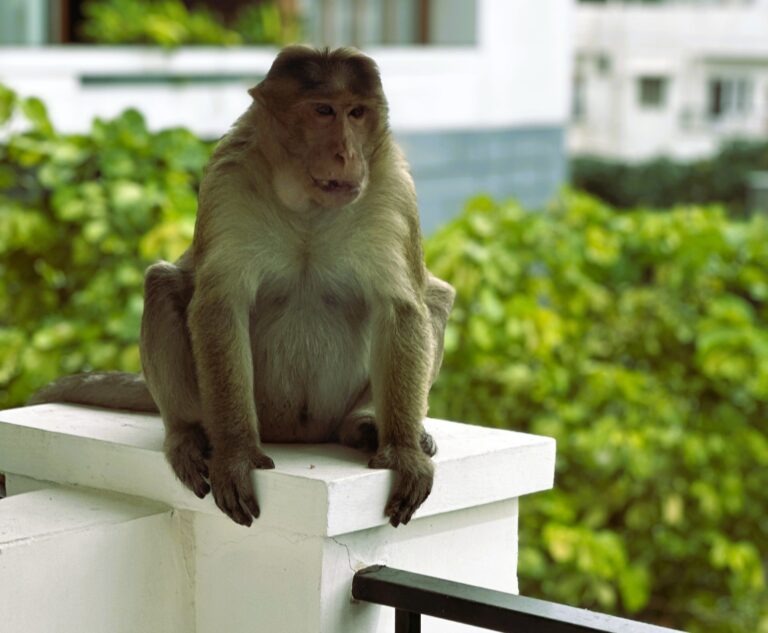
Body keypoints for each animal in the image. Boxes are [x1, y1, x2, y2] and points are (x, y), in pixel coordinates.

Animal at [29, 46, 455, 528]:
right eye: (323, 111)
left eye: (357, 112)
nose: (347, 153)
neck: (307, 207)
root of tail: (301, 433)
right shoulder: (227, 178)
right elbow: (219, 305)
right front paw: (234, 454)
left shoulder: (392, 188)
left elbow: (401, 307)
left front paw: (402, 452)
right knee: (162, 283)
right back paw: (189, 434)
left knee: (434, 298)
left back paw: (365, 423)